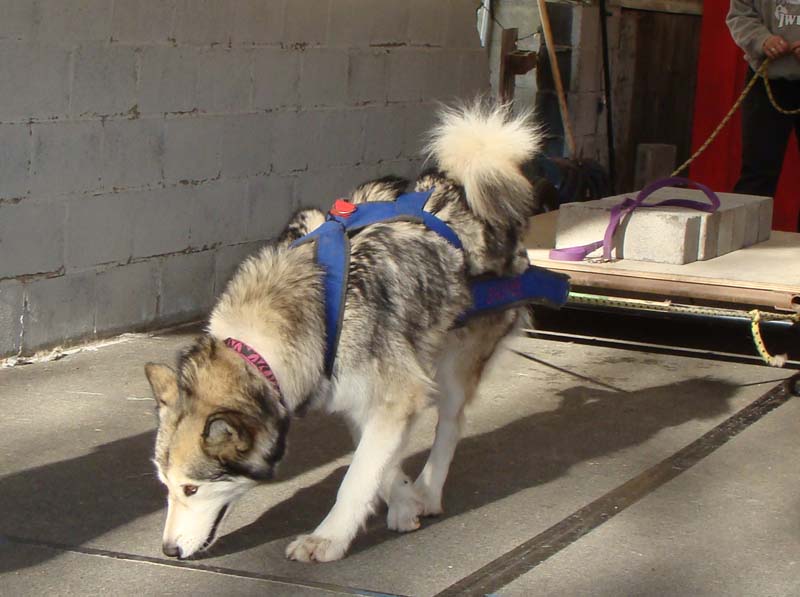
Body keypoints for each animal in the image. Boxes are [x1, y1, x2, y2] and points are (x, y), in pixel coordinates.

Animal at [144, 100, 544, 560]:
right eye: (165, 486)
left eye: (191, 488)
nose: (168, 551)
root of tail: (458, 184)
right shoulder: (361, 398)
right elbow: (378, 465)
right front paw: (402, 502)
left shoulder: (398, 393)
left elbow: (355, 479)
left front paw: (328, 539)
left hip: (457, 362)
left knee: (451, 423)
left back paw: (429, 489)